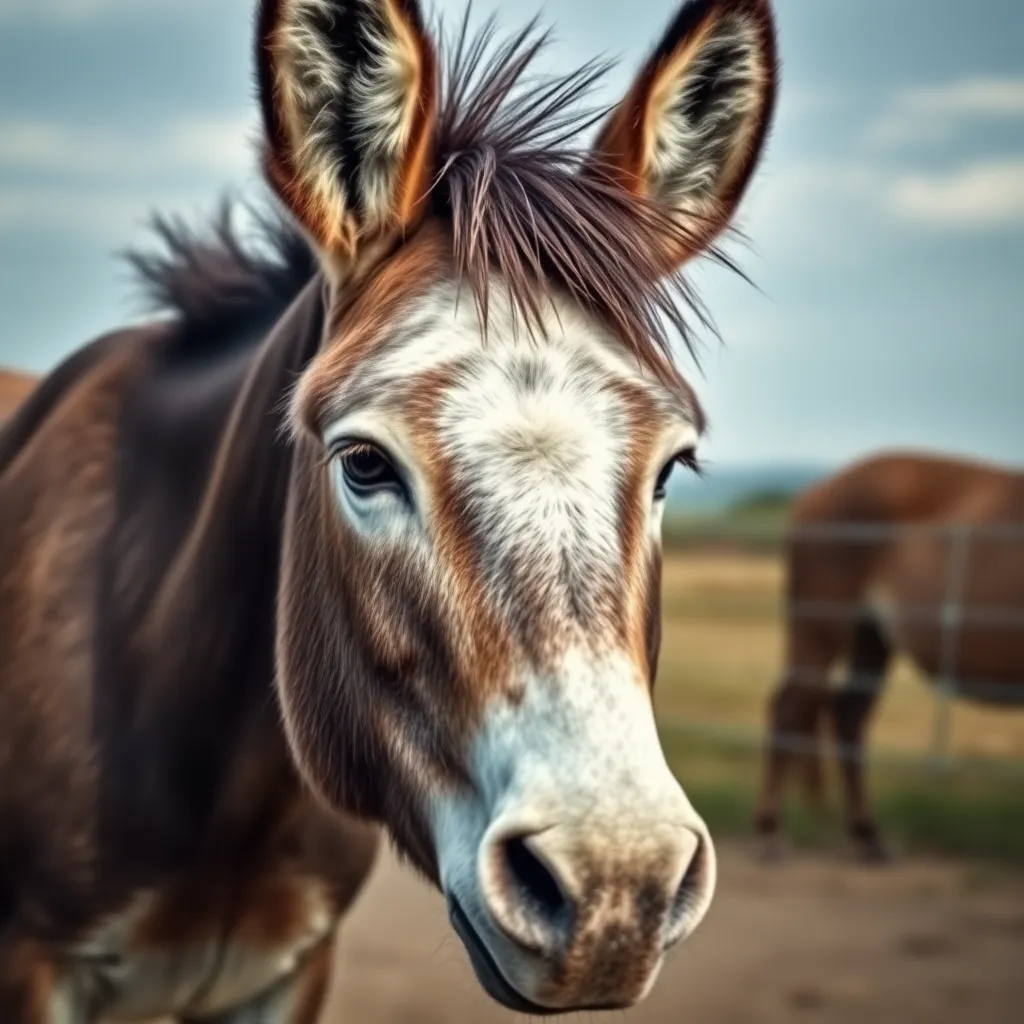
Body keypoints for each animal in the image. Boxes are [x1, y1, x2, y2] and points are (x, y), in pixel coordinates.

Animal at [754, 451, 1024, 861]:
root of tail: (816, 493)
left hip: (871, 638)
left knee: (846, 716)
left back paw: (868, 835)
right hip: (822, 627)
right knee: (792, 708)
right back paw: (771, 832)